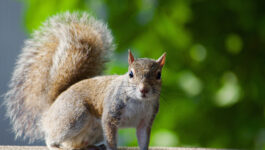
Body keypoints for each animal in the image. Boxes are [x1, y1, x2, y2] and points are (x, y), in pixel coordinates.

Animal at [4, 12, 165, 150]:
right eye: (130, 74)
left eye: (158, 75)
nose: (143, 89)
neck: (139, 102)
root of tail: (48, 112)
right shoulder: (111, 113)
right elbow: (110, 136)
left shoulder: (145, 121)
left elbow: (143, 140)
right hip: (74, 117)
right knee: (52, 138)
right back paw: (55, 146)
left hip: (93, 130)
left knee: (76, 144)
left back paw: (92, 146)